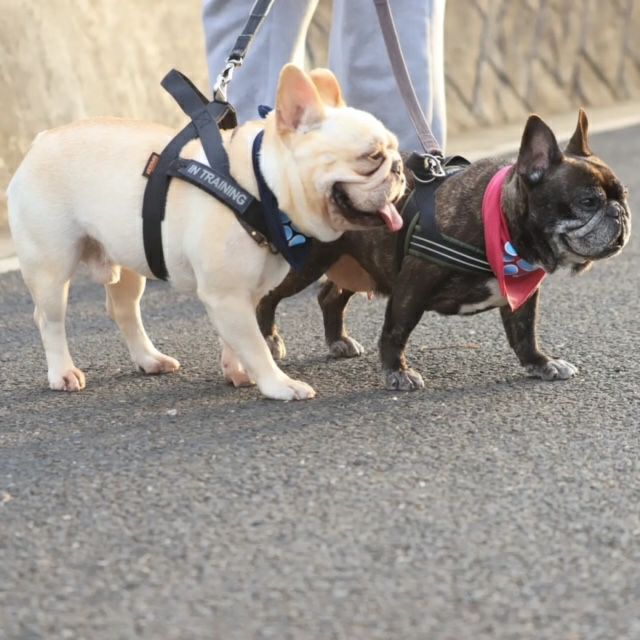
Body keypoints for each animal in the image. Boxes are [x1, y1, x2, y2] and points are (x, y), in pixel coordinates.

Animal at [7, 65, 405, 400]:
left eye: (394, 149)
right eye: (371, 157)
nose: (400, 167)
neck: (261, 185)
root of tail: (41, 140)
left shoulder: (240, 295)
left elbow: (237, 340)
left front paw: (237, 371)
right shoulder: (226, 294)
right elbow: (256, 344)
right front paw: (279, 384)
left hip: (128, 259)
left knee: (123, 310)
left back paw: (150, 359)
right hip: (51, 267)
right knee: (49, 319)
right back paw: (63, 373)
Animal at [256, 109, 631, 390]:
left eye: (623, 195)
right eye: (587, 202)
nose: (620, 213)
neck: (500, 222)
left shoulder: (522, 295)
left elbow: (524, 332)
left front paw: (541, 363)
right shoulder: (412, 286)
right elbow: (395, 330)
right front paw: (397, 372)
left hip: (357, 262)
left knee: (330, 297)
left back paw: (338, 340)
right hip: (306, 262)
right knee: (268, 296)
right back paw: (269, 340)